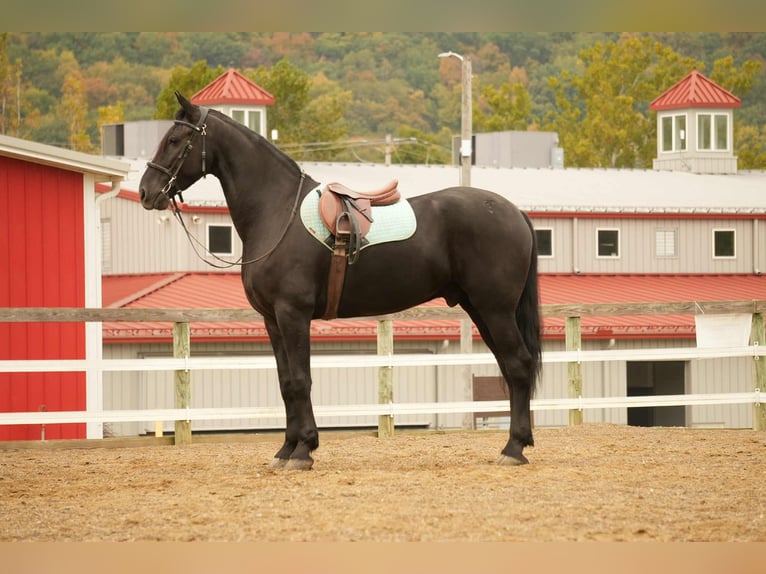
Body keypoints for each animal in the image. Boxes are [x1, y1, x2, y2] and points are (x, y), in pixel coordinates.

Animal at [139, 92, 541, 470]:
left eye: (175, 139)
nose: (146, 191)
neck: (277, 211)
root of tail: (513, 212)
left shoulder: (293, 314)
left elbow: (300, 381)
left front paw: (303, 450)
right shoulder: (272, 321)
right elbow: (286, 384)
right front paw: (286, 449)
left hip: (495, 309)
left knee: (519, 365)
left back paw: (514, 448)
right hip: (480, 309)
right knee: (510, 368)